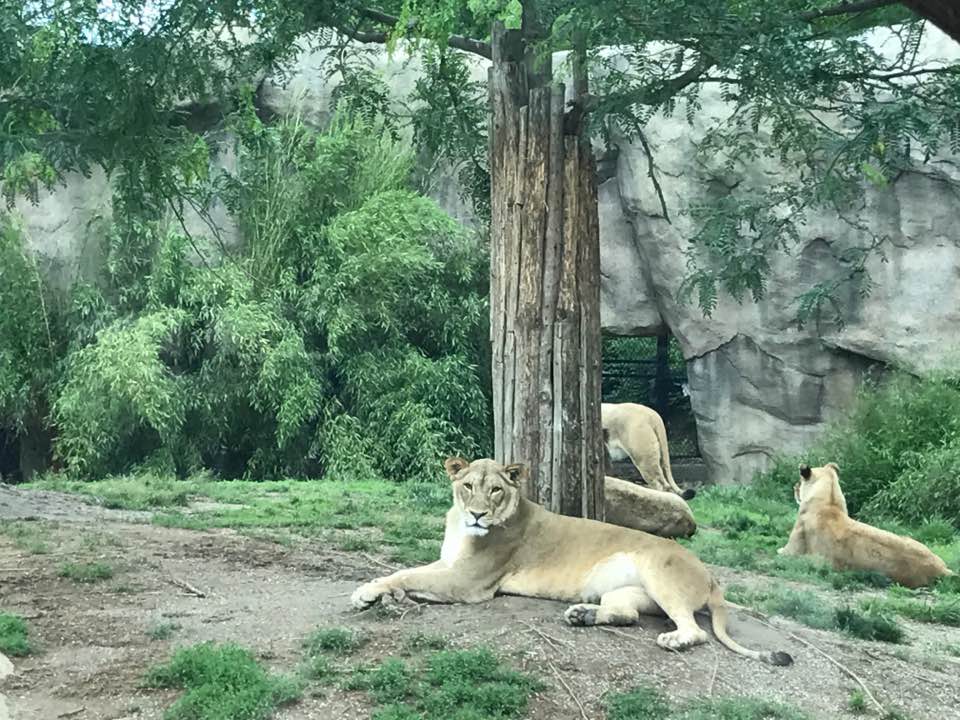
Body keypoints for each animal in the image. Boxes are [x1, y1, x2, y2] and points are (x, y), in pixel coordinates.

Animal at [352, 457, 793, 666]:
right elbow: (404, 570)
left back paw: (672, 639)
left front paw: (366, 594)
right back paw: (582, 614)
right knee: (627, 615)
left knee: (694, 630)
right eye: (468, 486)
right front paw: (381, 592)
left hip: (659, 571)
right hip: (628, 593)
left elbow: (406, 575)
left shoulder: (469, 581)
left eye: (495, 490)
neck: (461, 525)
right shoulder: (451, 567)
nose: (477, 514)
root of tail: (713, 580)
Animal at [779, 463, 953, 588]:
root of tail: (942, 569)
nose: (794, 487)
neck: (830, 501)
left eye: (800, 481)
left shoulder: (792, 551)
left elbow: (781, 552)